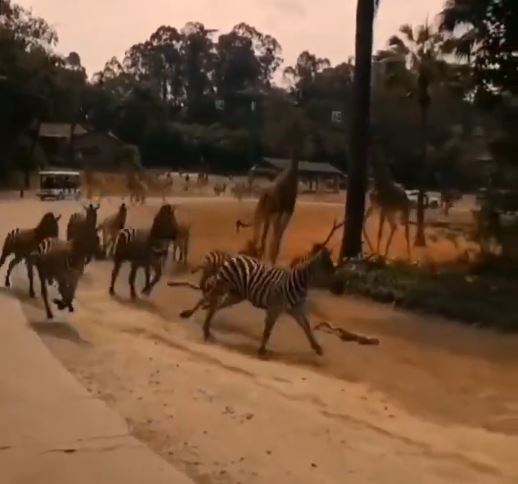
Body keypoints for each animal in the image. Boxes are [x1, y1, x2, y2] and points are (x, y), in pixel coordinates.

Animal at [177, 250, 336, 356]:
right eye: (328, 268)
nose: (338, 285)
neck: (299, 284)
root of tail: (233, 256)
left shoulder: (297, 309)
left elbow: (306, 327)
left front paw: (317, 347)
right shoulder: (274, 308)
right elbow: (268, 330)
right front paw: (262, 350)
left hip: (236, 295)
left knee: (215, 305)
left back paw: (206, 328)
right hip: (222, 286)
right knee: (207, 299)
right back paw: (189, 315)